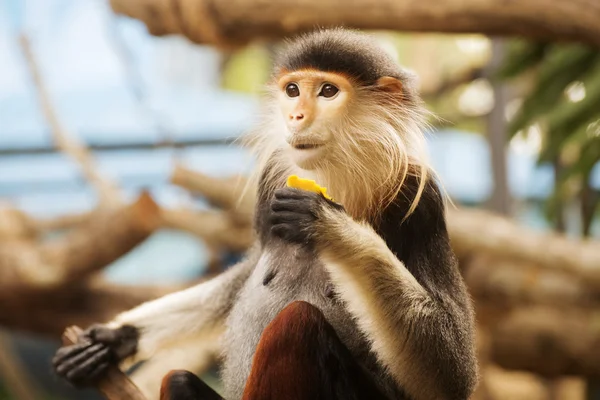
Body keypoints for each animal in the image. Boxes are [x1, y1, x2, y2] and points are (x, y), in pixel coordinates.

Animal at [54, 28, 480, 400]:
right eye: (293, 90)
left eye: (328, 91)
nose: (295, 116)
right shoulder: (269, 188)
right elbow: (243, 276)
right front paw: (117, 338)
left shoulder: (420, 204)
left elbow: (452, 375)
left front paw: (330, 226)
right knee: (177, 379)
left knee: (297, 322)